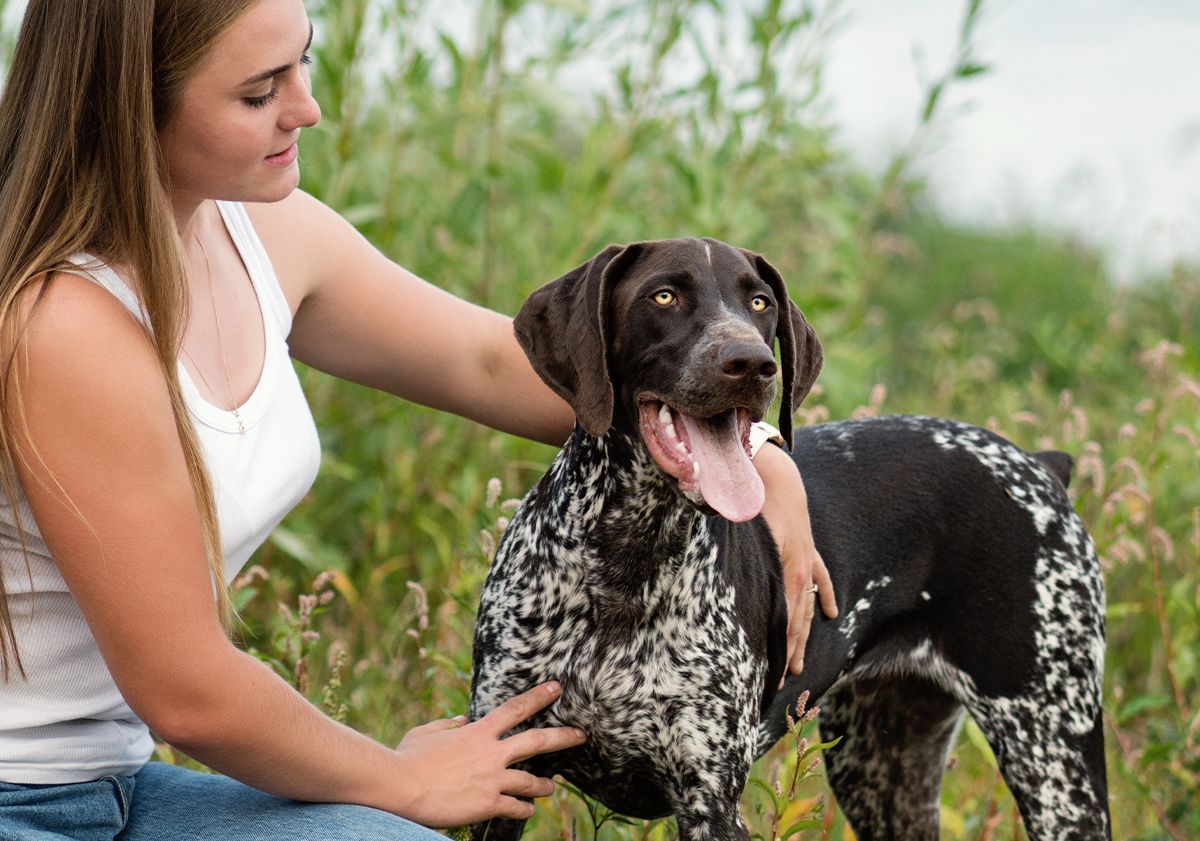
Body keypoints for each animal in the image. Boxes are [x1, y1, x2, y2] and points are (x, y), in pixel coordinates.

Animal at [463, 237, 1108, 839]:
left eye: (760, 303)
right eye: (663, 296)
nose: (751, 363)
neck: (628, 557)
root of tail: (1037, 465)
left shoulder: (711, 803)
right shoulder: (502, 769)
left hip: (1055, 760)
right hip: (880, 767)